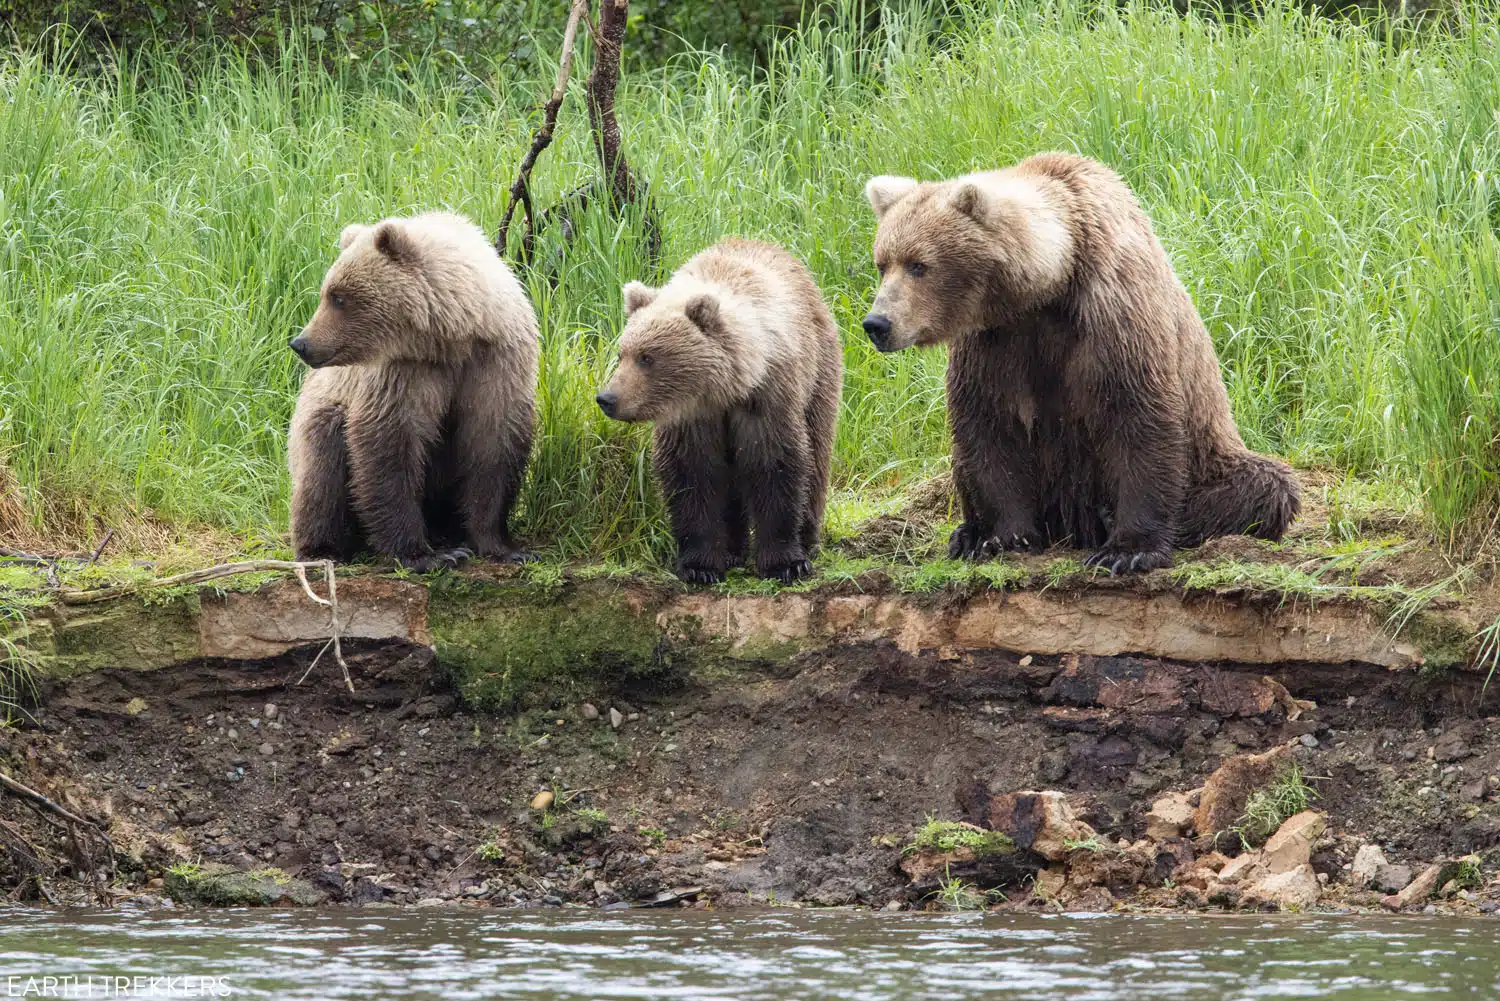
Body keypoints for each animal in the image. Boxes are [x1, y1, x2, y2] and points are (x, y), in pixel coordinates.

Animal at [286, 211, 540, 570]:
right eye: (328, 291)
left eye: (338, 297)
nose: (301, 343)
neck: (453, 338)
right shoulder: (404, 373)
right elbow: (390, 443)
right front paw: (426, 555)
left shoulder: (496, 362)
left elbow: (493, 444)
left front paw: (503, 545)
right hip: (319, 417)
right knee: (322, 469)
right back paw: (323, 549)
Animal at [594, 241, 846, 582]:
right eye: (622, 353)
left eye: (647, 358)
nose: (607, 398)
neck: (723, 390)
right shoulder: (692, 420)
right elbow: (694, 475)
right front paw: (701, 565)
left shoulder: (766, 398)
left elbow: (775, 464)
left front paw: (787, 563)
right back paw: (733, 550)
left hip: (819, 370)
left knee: (817, 451)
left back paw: (808, 540)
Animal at [864, 148, 1296, 570]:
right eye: (883, 263)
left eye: (919, 264)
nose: (877, 323)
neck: (1052, 281)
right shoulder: (995, 340)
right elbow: (988, 426)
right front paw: (999, 538)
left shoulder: (1112, 314)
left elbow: (1138, 417)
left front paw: (1127, 551)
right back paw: (966, 533)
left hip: (1210, 458)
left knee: (1267, 487)